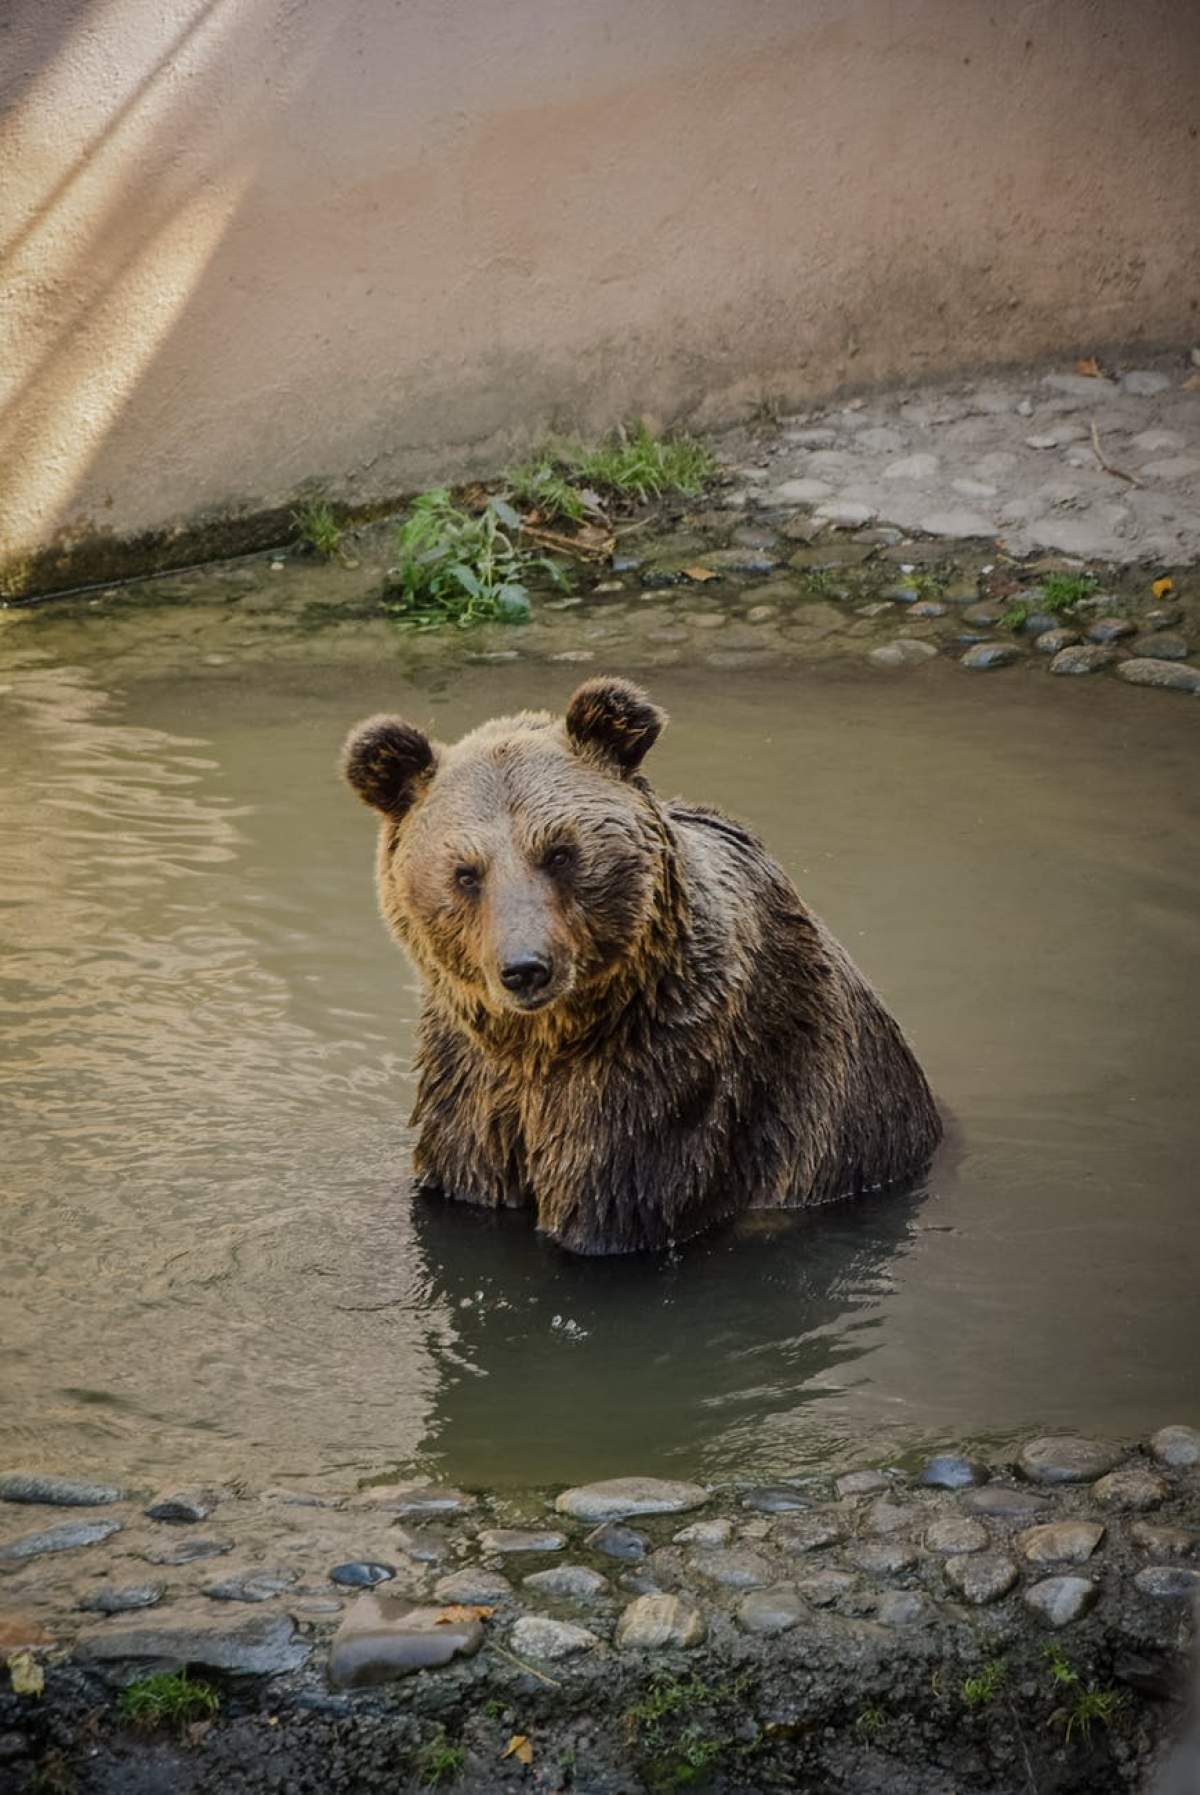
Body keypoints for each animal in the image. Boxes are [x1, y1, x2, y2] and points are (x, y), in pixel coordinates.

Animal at [340, 678, 939, 1256]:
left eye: (560, 852)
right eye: (465, 872)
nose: (526, 968)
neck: (544, 1042)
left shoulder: (670, 1077)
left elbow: (612, 1204)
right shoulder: (467, 1080)